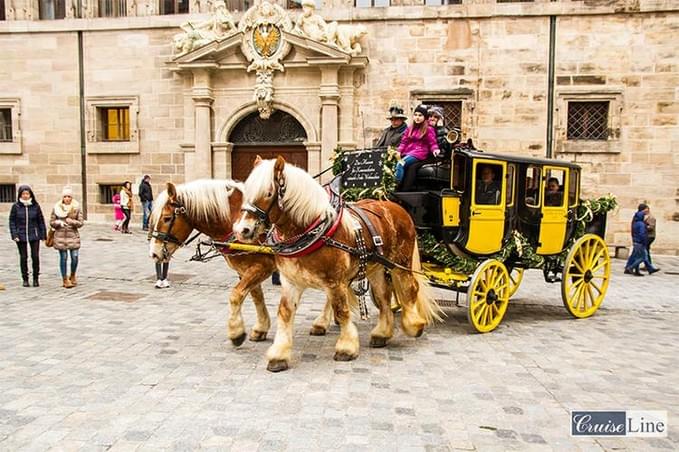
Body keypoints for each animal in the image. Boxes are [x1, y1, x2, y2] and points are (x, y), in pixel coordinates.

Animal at [149, 178, 276, 344]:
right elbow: (256, 296)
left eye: (167, 218)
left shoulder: (263, 266)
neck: (235, 218)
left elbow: (236, 295)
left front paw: (236, 332)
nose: (154, 253)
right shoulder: (245, 270)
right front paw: (261, 328)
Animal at [236, 155, 444, 370]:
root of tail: (396, 206)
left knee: (409, 288)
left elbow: (342, 310)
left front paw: (346, 348)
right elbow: (284, 313)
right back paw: (382, 333)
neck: (310, 230)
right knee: (384, 296)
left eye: (268, 193)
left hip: (399, 262)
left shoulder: (335, 282)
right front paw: (279, 354)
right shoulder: (290, 281)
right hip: (375, 267)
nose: (242, 230)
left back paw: (414, 325)